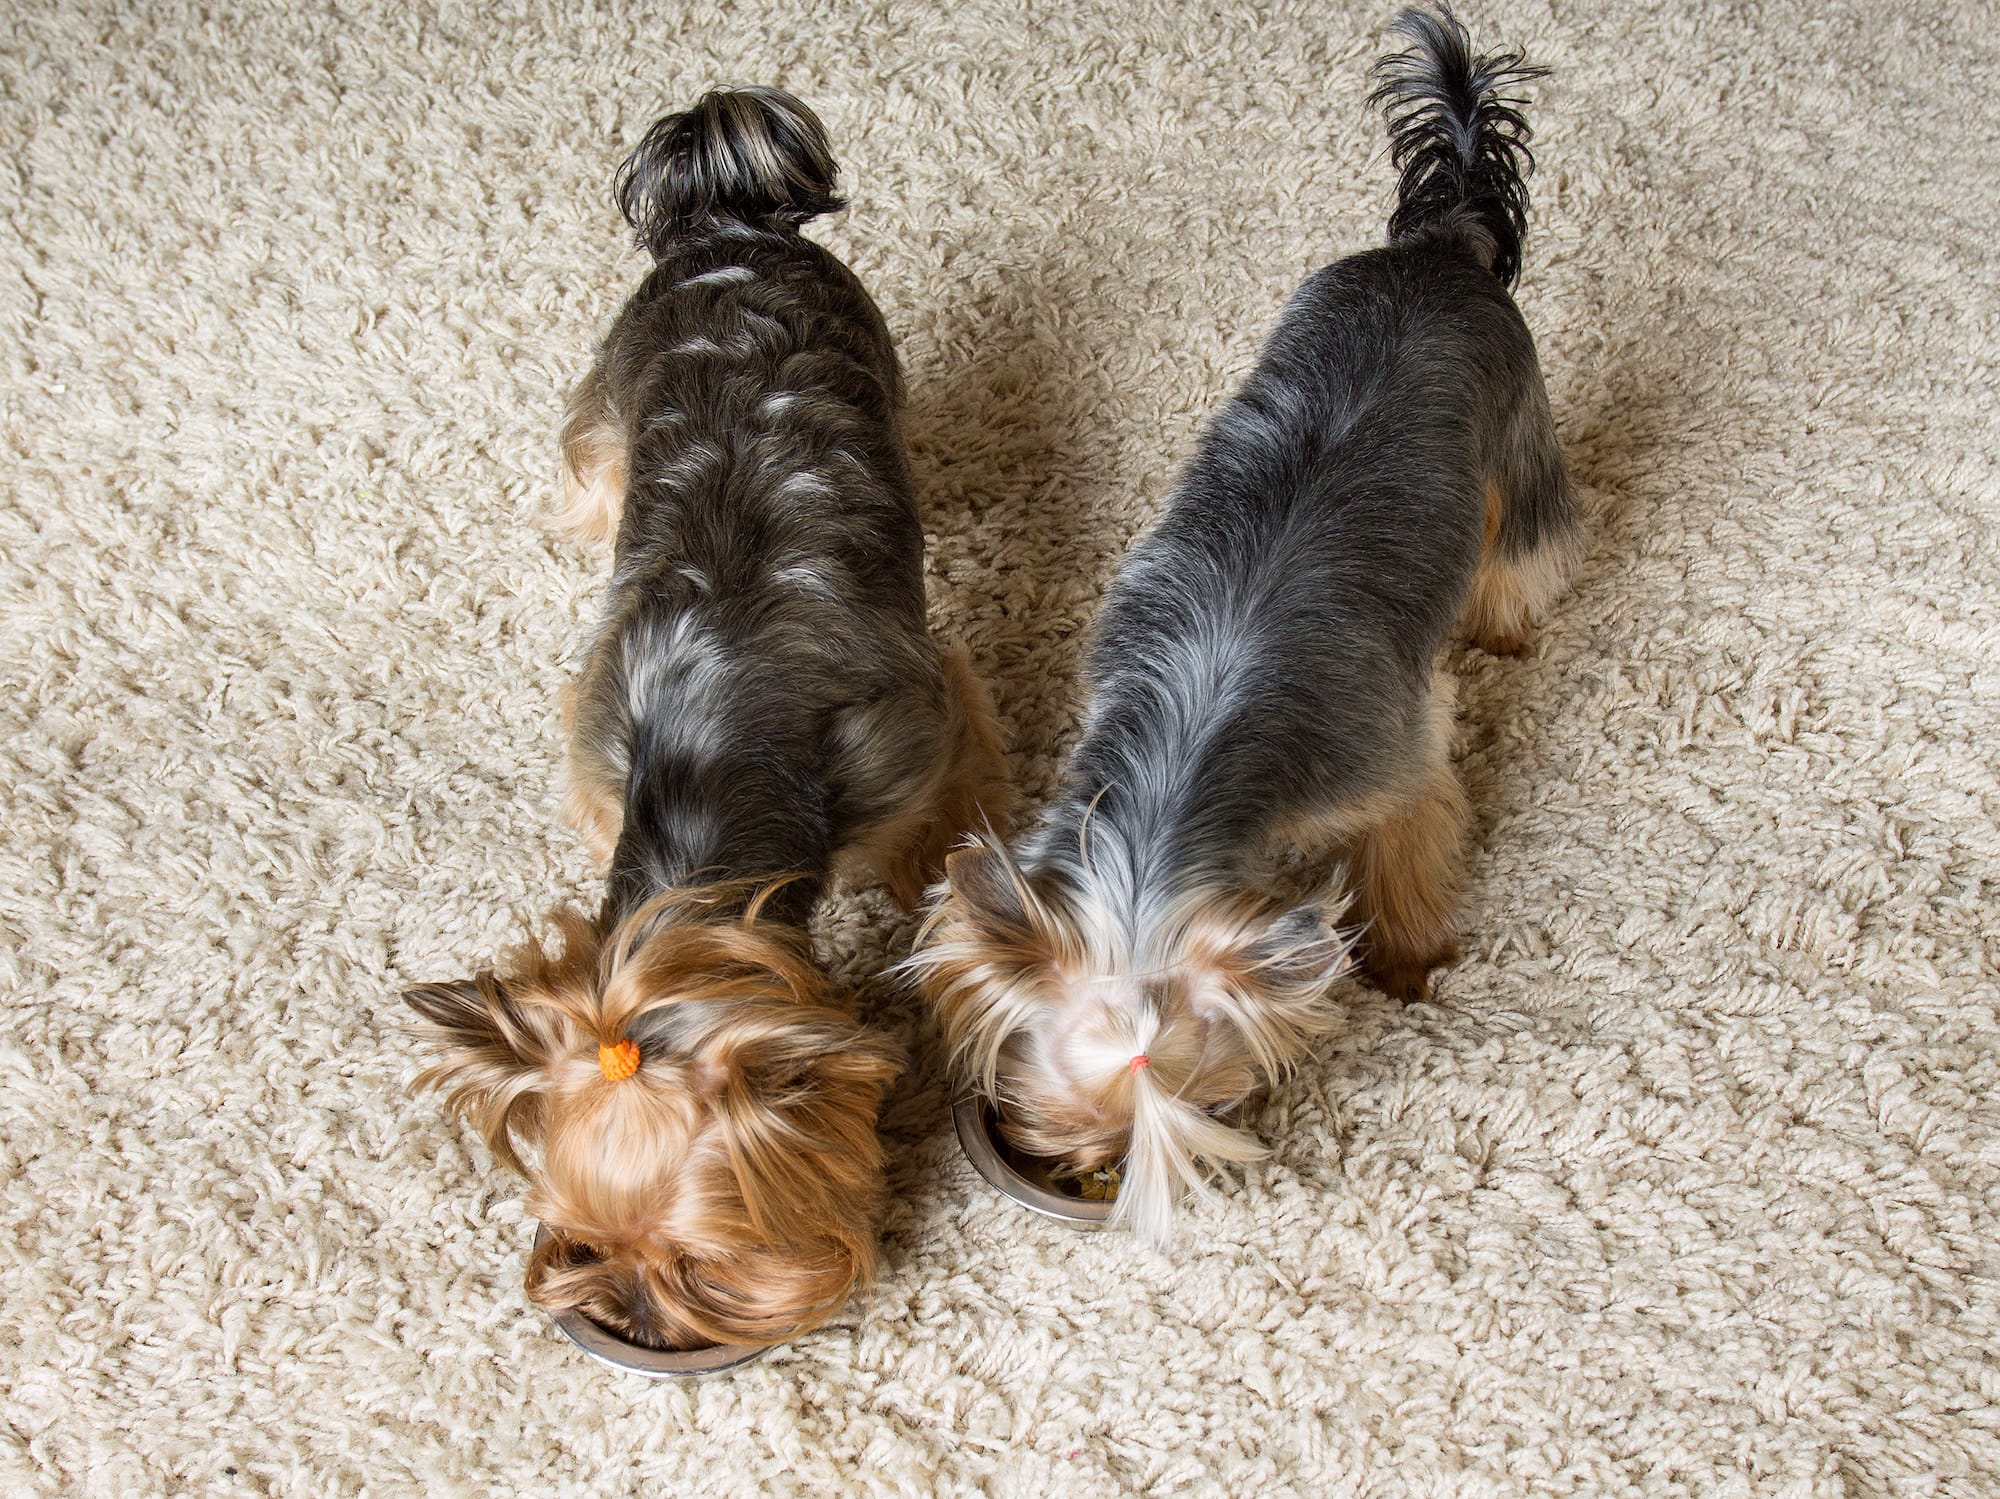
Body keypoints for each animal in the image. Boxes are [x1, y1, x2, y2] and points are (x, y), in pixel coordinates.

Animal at [404, 87, 1008, 1359]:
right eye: (583, 1235)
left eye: (703, 1256)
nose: (631, 1311)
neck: (710, 762)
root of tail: (722, 222)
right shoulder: (599, 742)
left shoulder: (923, 725)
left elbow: (939, 821)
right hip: (610, 396)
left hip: (859, 341)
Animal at [908, 8, 1576, 1247]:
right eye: (1052, 1121)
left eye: (1208, 1099)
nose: (1087, 1167)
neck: (1187, 760)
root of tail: (1437, 246)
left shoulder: (1395, 764)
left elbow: (1412, 847)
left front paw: (1409, 964)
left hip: (1518, 417)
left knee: (1526, 538)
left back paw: (1505, 622)